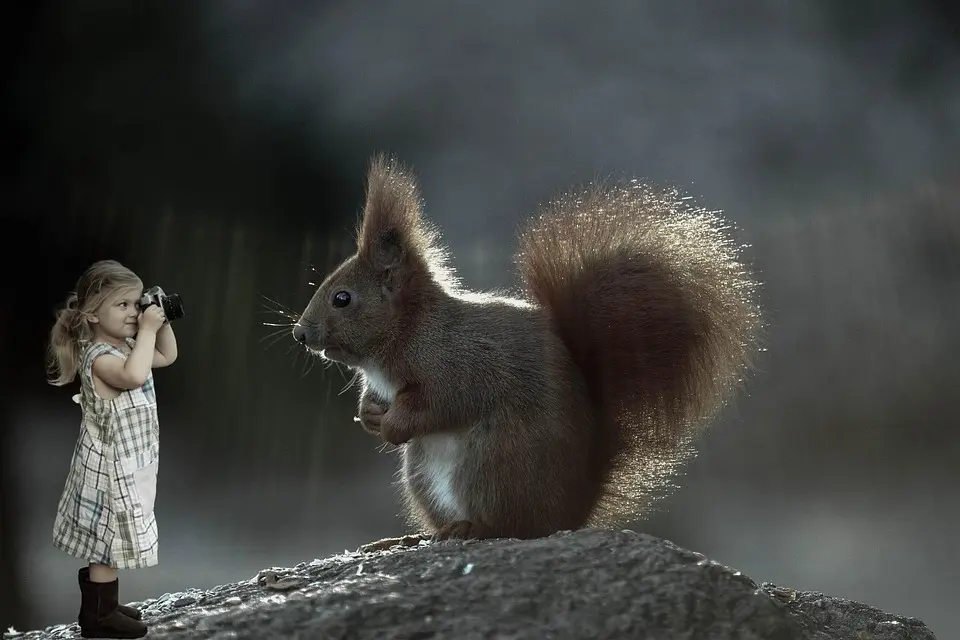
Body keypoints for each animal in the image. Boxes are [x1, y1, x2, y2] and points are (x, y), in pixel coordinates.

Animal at [294, 152, 764, 544]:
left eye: (342, 299)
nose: (300, 334)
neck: (408, 334)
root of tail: (575, 510)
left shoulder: (456, 365)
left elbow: (436, 405)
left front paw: (392, 426)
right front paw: (370, 415)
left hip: (494, 463)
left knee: (513, 526)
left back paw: (471, 528)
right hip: (424, 474)